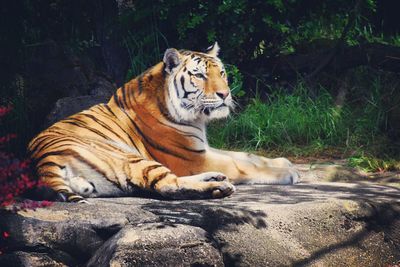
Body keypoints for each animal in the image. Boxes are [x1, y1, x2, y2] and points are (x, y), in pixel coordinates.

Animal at [28, 43, 298, 203]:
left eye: (221, 73)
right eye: (200, 75)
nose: (225, 94)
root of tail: (41, 163)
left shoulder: (202, 148)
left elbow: (246, 155)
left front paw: (283, 162)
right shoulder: (193, 157)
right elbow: (242, 165)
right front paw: (288, 172)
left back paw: (215, 179)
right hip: (131, 158)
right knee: (168, 185)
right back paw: (218, 187)